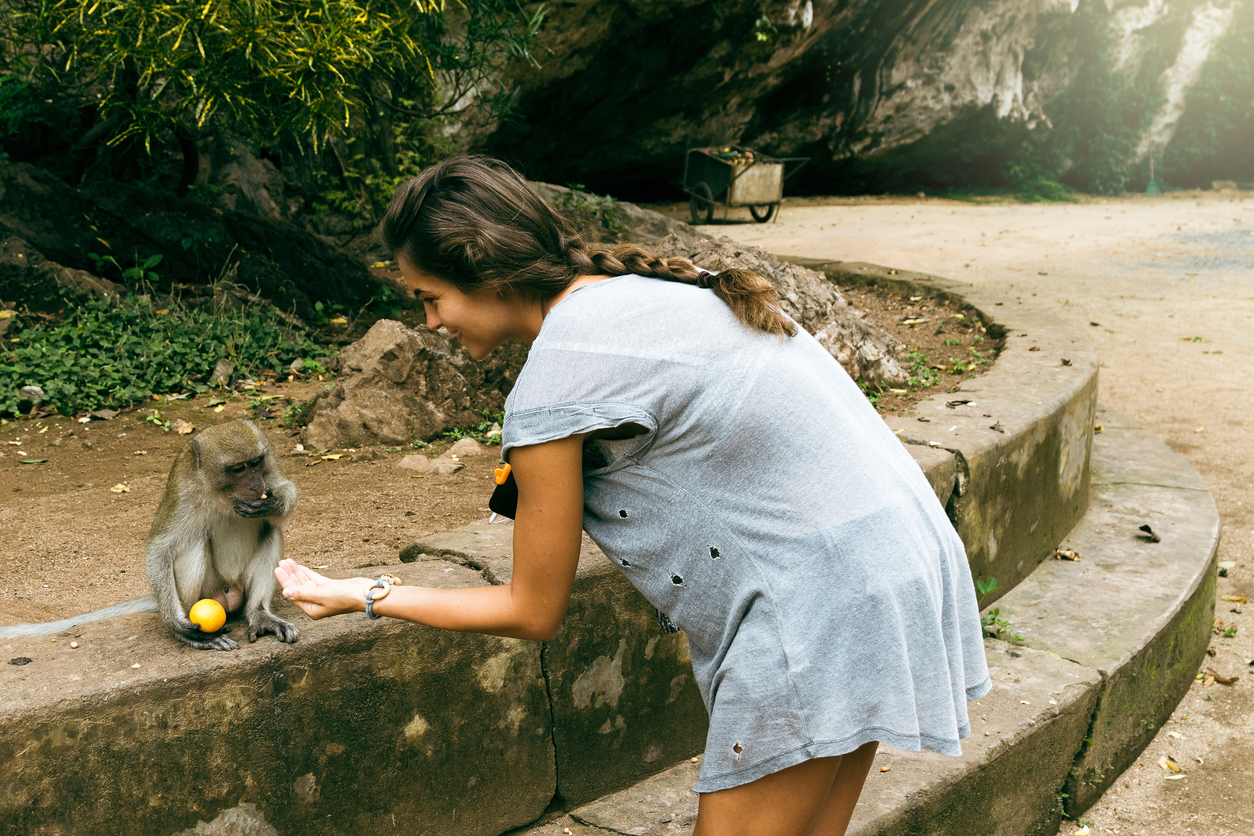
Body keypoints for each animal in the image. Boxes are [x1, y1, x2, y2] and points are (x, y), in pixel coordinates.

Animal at [144, 421, 300, 651]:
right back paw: (196, 636)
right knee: (193, 540)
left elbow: (287, 488)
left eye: (255, 462)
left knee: (272, 529)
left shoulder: (269, 465)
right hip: (208, 591)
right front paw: (175, 623)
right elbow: (159, 547)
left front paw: (274, 504)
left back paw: (259, 614)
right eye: (238, 469)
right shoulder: (182, 488)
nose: (256, 485)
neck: (224, 493)